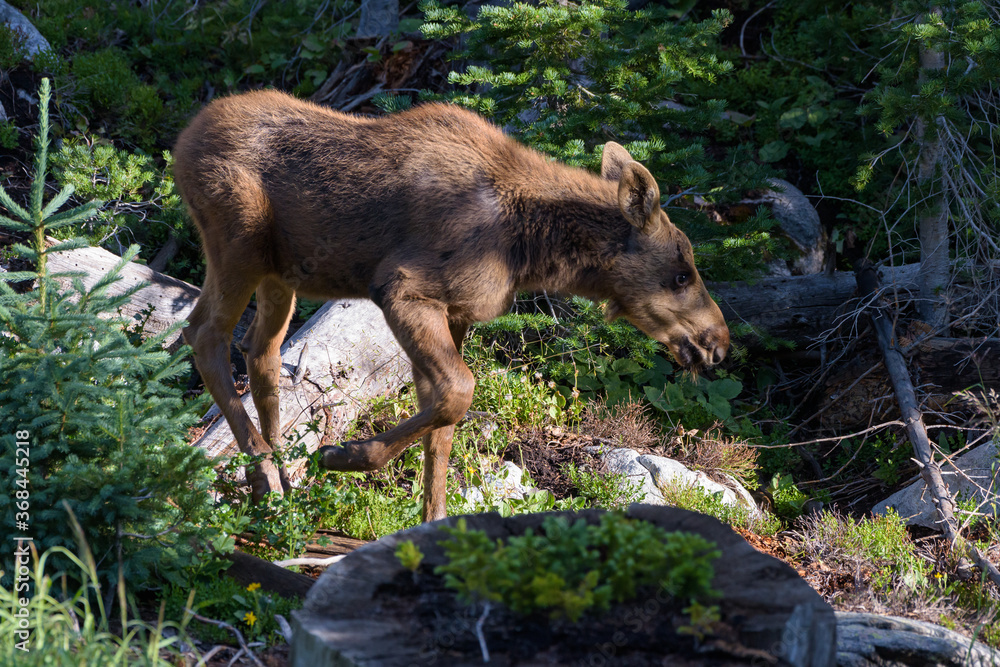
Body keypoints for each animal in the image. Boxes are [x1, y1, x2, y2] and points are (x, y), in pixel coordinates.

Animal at [173, 89, 730, 522]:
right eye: (681, 274)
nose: (719, 344)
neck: (530, 248)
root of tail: (183, 138)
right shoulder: (403, 289)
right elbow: (459, 391)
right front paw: (342, 454)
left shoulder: (457, 312)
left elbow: (440, 422)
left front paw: (431, 523)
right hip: (237, 242)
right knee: (202, 334)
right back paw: (264, 469)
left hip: (279, 272)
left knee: (259, 350)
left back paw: (282, 471)